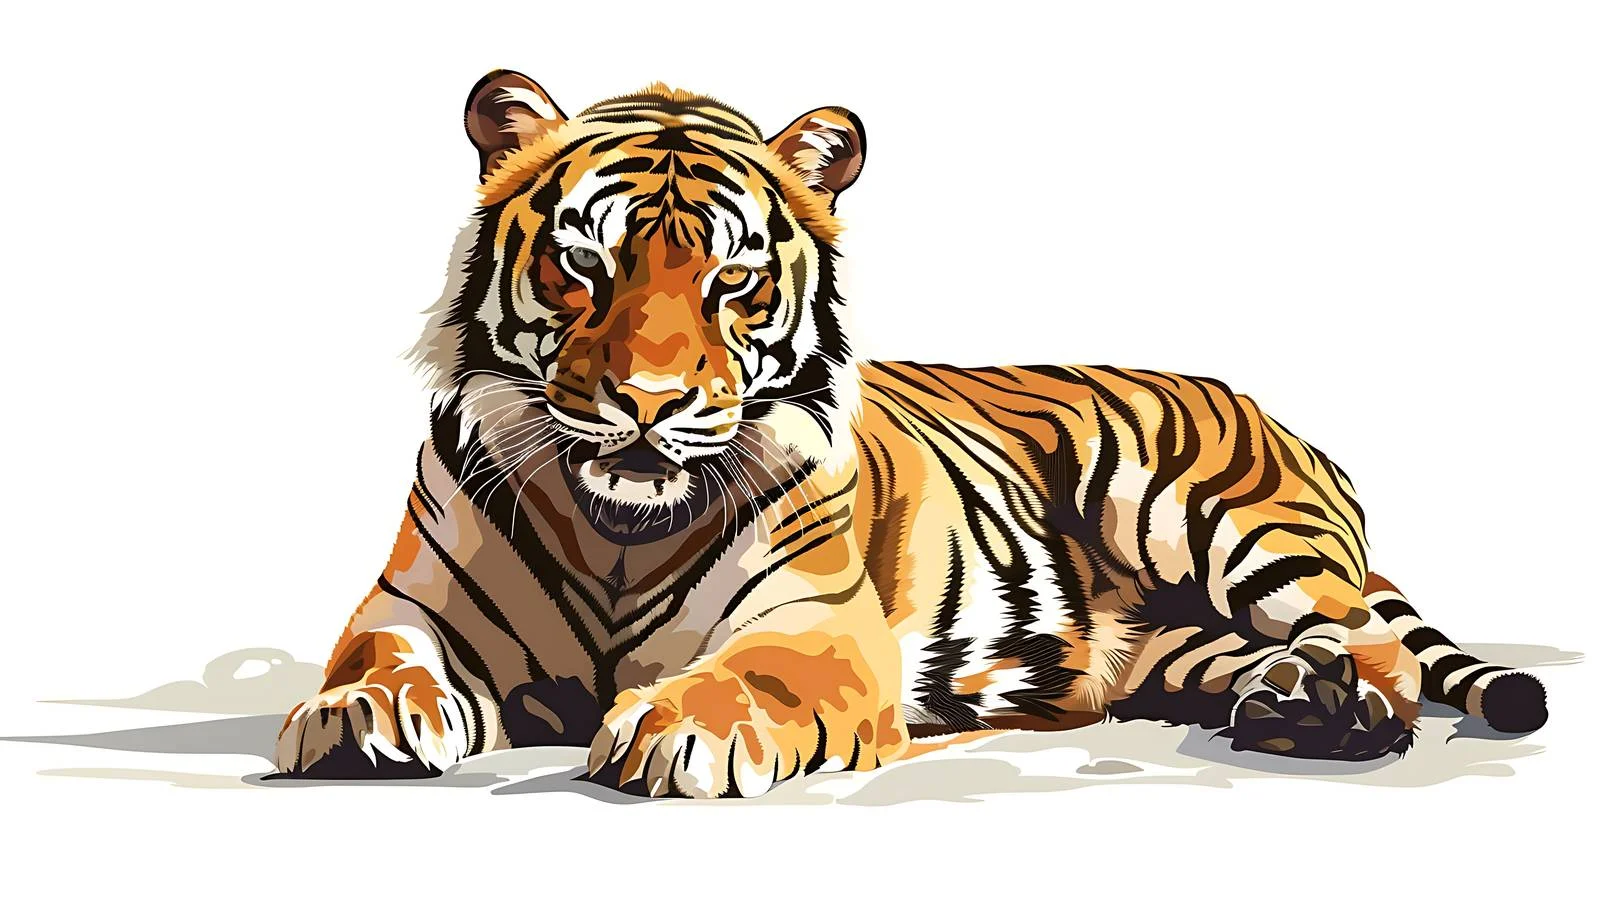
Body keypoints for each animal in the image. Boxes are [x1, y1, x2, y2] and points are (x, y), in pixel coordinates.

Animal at [275, 70, 1549, 796]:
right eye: (583, 264)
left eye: (734, 282)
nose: (648, 400)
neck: (617, 530)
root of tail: (1286, 424)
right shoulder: (414, 607)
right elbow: (378, 658)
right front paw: (353, 715)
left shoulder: (818, 627)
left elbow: (752, 676)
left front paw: (678, 727)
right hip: (1172, 645)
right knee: (1276, 651)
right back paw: (1288, 700)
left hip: (1220, 522)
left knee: (1368, 641)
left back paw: (1340, 719)